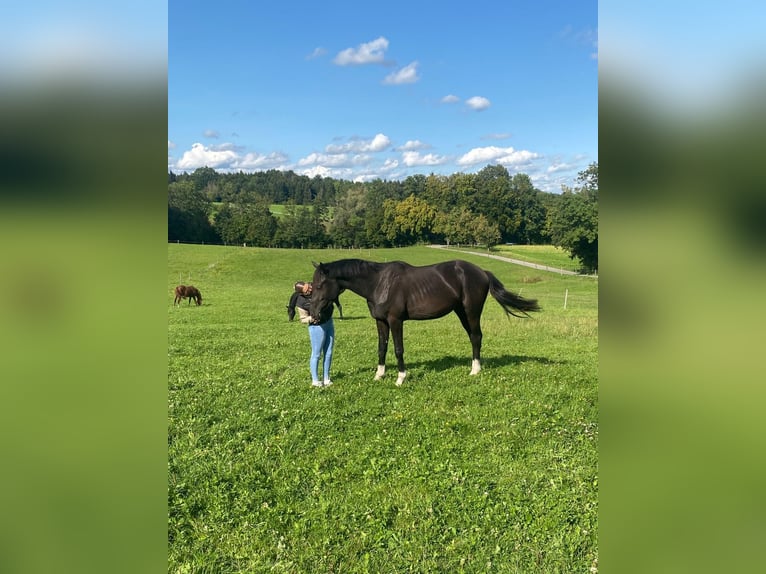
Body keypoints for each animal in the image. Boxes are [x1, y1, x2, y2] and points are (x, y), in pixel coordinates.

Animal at [310, 258, 540, 385]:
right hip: (461, 312)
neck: (379, 283)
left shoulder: (395, 321)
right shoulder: (381, 321)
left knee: (476, 336)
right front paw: (379, 375)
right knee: (474, 337)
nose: (313, 313)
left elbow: (398, 349)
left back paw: (475, 370)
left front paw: (401, 378)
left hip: (471, 312)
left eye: (320, 285)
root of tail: (482, 272)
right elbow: (382, 348)